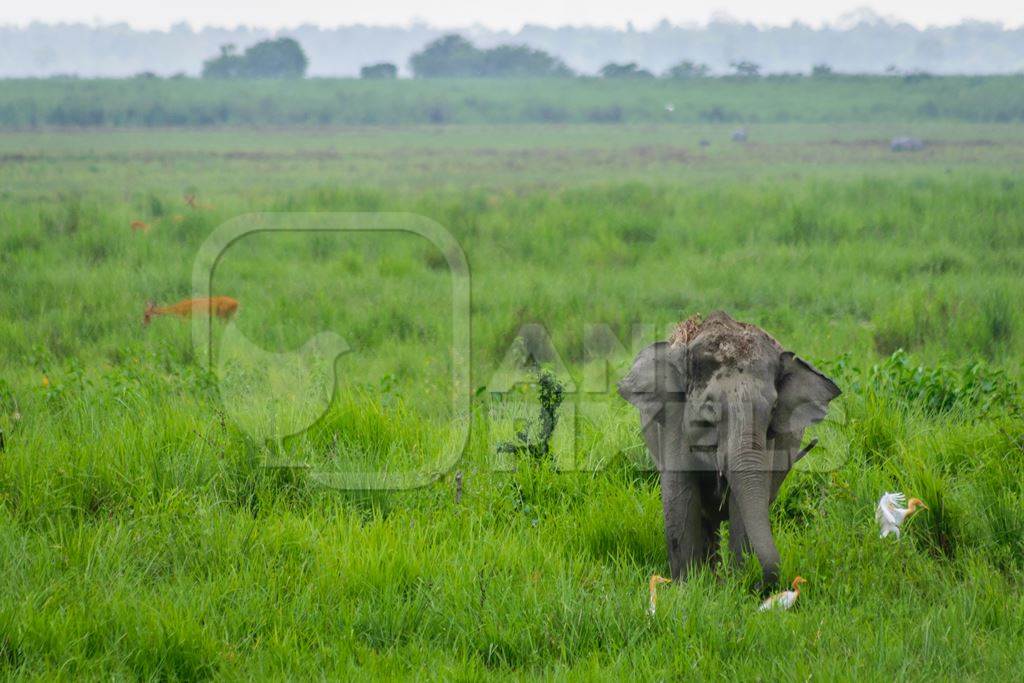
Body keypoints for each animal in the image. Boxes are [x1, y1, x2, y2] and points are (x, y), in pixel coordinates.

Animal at [614, 313, 839, 589]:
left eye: (774, 409)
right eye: (709, 408)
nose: (758, 584)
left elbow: (743, 499)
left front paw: (735, 583)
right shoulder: (674, 421)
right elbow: (680, 494)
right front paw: (687, 586)